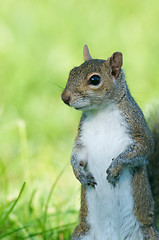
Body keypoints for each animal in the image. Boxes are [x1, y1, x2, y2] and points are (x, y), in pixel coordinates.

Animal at [60, 45, 159, 240]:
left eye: (95, 79)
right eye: (71, 72)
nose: (64, 97)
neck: (101, 112)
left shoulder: (137, 129)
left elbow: (142, 149)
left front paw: (115, 168)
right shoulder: (83, 139)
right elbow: (78, 154)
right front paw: (79, 173)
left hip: (147, 233)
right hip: (82, 233)